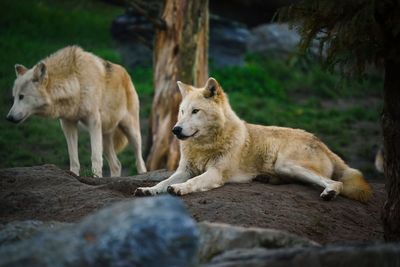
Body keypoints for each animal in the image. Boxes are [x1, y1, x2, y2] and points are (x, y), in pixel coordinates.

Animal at [6, 46, 147, 178]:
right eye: (14, 97)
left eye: (22, 96)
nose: (9, 117)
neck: (77, 82)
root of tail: (126, 73)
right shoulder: (68, 124)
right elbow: (73, 158)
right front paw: (74, 175)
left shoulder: (93, 121)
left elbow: (95, 157)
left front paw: (96, 178)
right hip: (105, 137)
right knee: (116, 165)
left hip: (131, 131)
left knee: (140, 160)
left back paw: (142, 174)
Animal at [136, 77, 374, 203]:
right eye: (182, 111)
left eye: (196, 111)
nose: (175, 130)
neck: (206, 145)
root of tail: (323, 143)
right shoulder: (184, 170)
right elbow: (163, 182)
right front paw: (149, 190)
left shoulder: (215, 173)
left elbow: (192, 182)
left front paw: (179, 189)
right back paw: (267, 178)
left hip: (288, 164)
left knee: (335, 182)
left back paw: (330, 192)